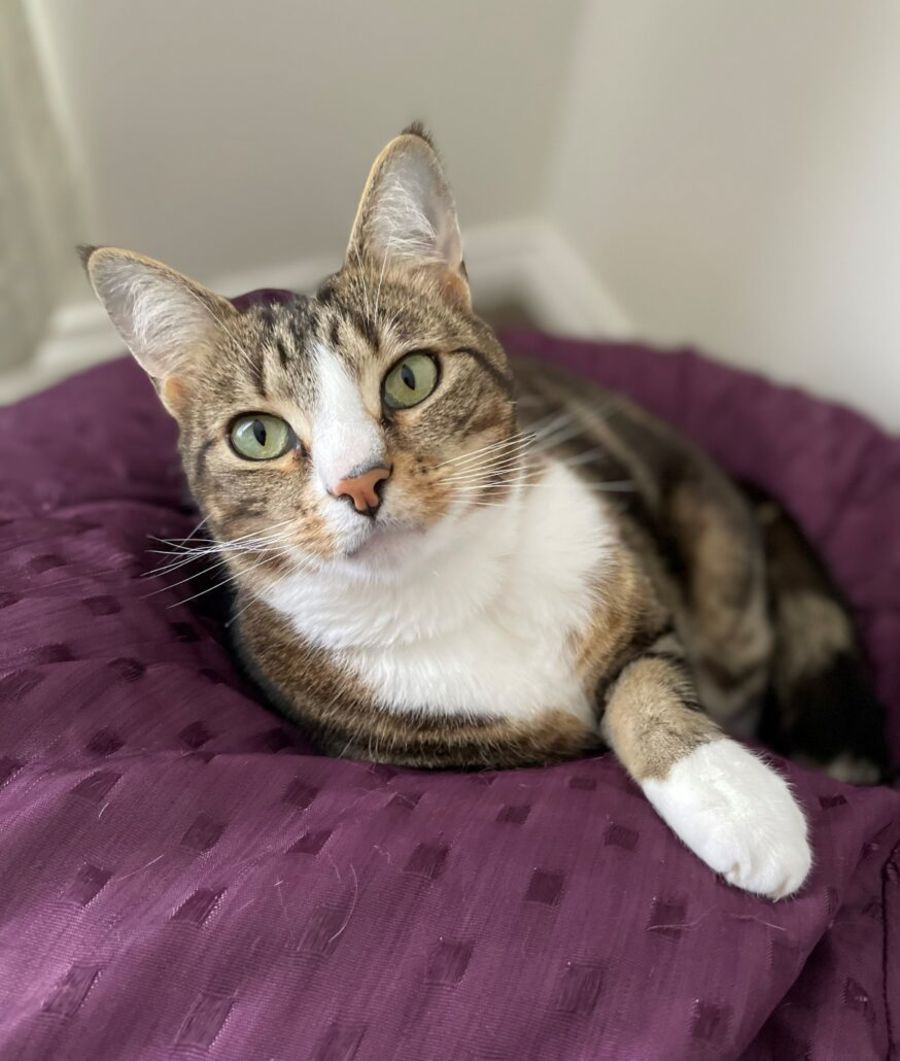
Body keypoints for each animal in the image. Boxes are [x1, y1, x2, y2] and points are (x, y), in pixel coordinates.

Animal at [82, 123, 888, 900]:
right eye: (258, 435)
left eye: (411, 378)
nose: (360, 483)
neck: (459, 591)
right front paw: (743, 804)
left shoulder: (635, 597)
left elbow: (647, 684)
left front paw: (733, 795)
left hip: (723, 578)